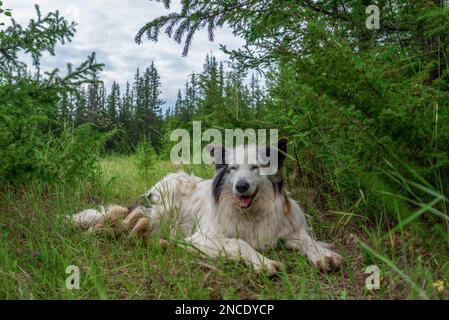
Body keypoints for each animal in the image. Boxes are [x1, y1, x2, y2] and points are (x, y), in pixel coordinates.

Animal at [72, 139, 342, 276]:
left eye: (255, 167)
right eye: (232, 169)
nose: (241, 187)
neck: (251, 213)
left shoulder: (289, 230)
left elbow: (307, 241)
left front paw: (324, 256)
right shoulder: (202, 237)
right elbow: (241, 244)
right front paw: (263, 263)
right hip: (169, 201)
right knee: (135, 216)